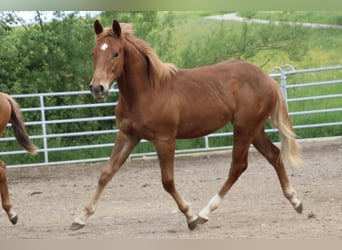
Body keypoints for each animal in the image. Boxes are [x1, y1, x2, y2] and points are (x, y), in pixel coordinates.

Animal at [71, 19, 304, 230]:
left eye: (116, 54)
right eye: (93, 53)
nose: (97, 88)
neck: (148, 92)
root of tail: (268, 80)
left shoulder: (165, 139)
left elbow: (167, 181)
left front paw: (190, 217)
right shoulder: (128, 135)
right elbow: (106, 173)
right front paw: (80, 218)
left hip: (244, 129)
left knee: (238, 166)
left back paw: (204, 213)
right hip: (254, 130)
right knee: (274, 155)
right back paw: (296, 201)